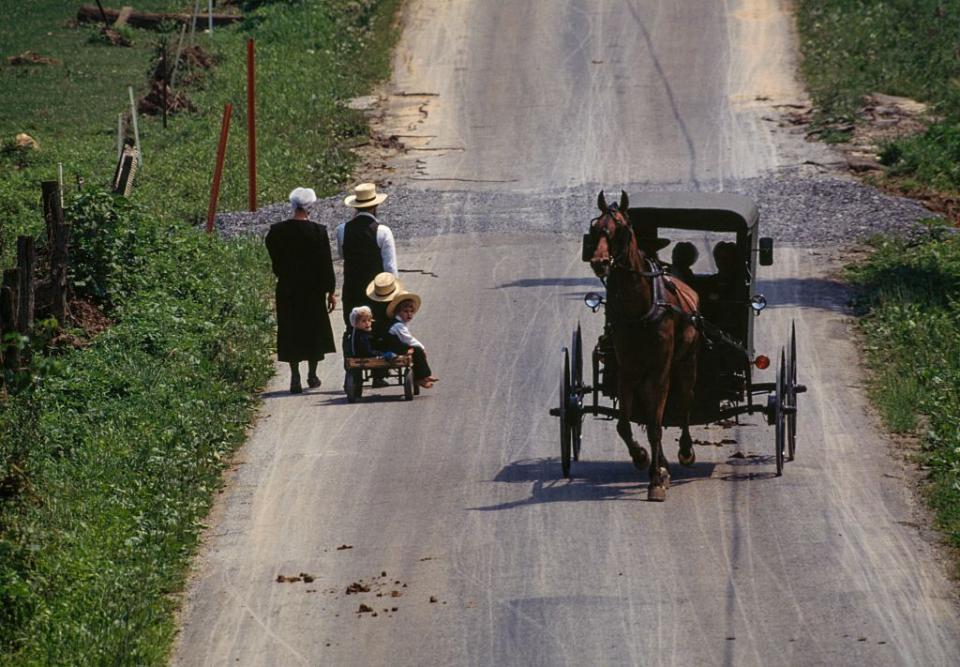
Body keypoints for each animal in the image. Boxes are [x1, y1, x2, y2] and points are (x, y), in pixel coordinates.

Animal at [584, 189, 696, 500]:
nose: (599, 262)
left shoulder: (659, 371)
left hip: (685, 363)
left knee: (684, 402)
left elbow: (657, 425)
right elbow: (625, 424)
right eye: (595, 228)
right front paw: (643, 458)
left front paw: (656, 479)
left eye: (622, 228)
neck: (641, 308)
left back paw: (684, 451)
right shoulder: (628, 369)